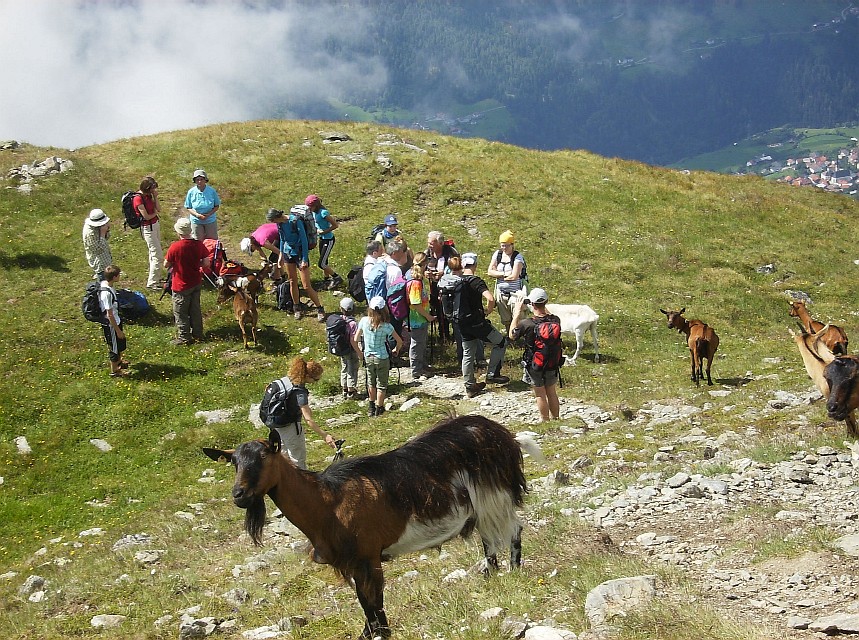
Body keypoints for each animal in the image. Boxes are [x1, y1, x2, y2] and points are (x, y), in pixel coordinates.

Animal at [203, 412, 536, 636]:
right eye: (234, 462)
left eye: (263, 456)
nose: (239, 495)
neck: (327, 502)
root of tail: (503, 435)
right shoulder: (352, 563)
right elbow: (366, 607)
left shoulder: (368, 557)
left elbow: (376, 608)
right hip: (481, 506)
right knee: (488, 538)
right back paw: (490, 577)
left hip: (495, 495)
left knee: (513, 530)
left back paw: (513, 572)